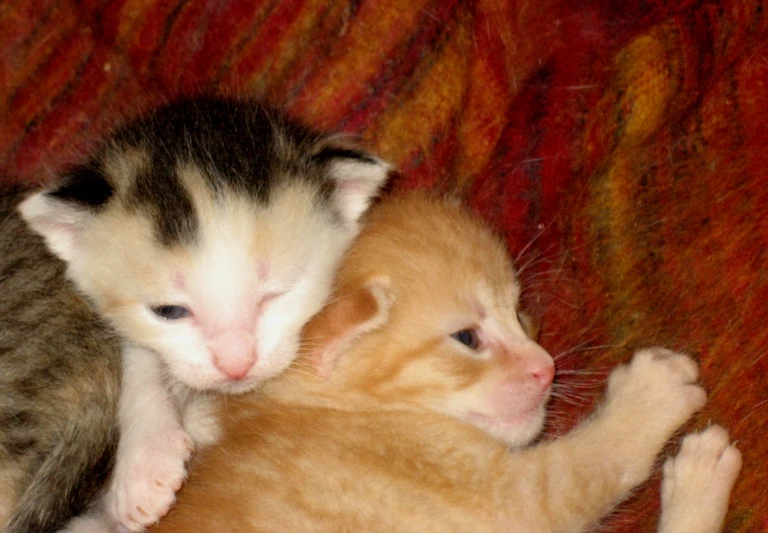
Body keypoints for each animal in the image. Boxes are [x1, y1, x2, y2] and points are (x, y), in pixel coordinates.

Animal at [147, 191, 740, 532]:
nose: (546, 368)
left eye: (519, 311)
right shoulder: (514, 501)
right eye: (467, 338)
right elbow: (591, 466)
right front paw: (654, 396)